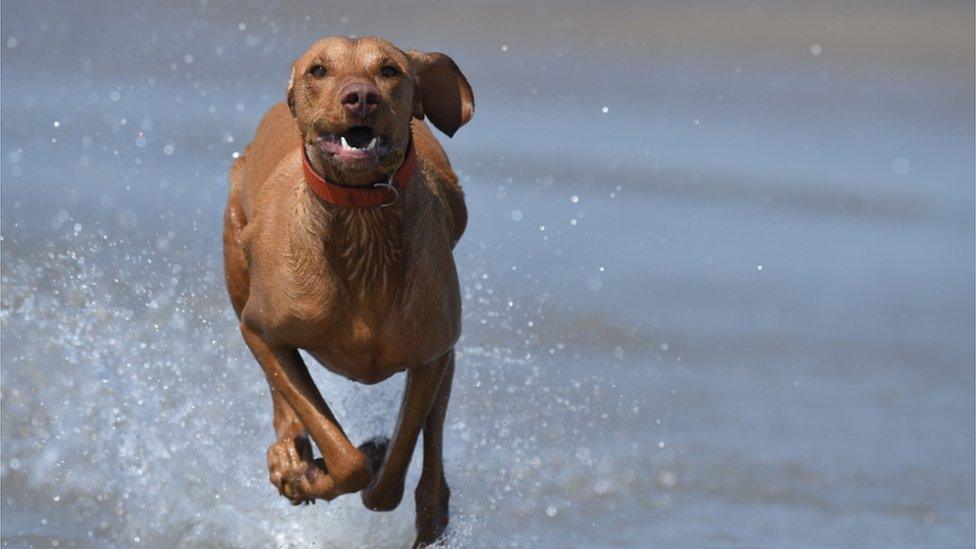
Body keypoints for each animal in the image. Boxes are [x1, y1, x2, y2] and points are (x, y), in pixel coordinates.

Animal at [225, 36, 476, 544]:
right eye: (318, 70)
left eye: (390, 70)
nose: (360, 96)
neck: (361, 217)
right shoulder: (259, 329)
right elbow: (342, 454)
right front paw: (306, 475)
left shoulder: (431, 354)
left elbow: (388, 482)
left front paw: (376, 456)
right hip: (236, 265)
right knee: (283, 399)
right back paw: (289, 456)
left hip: (447, 352)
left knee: (431, 453)